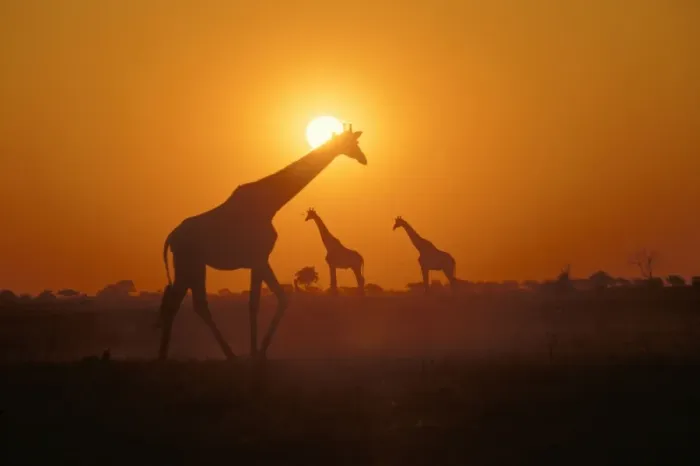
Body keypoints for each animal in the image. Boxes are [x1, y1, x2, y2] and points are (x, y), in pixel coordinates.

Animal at [157, 126, 367, 360]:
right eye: (352, 143)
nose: (364, 159)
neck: (271, 203)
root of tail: (171, 237)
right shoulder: (259, 259)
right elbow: (262, 302)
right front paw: (257, 352)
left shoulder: (259, 260)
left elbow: (271, 300)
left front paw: (258, 351)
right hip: (187, 262)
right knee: (180, 303)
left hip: (195, 265)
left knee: (193, 304)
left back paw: (217, 355)